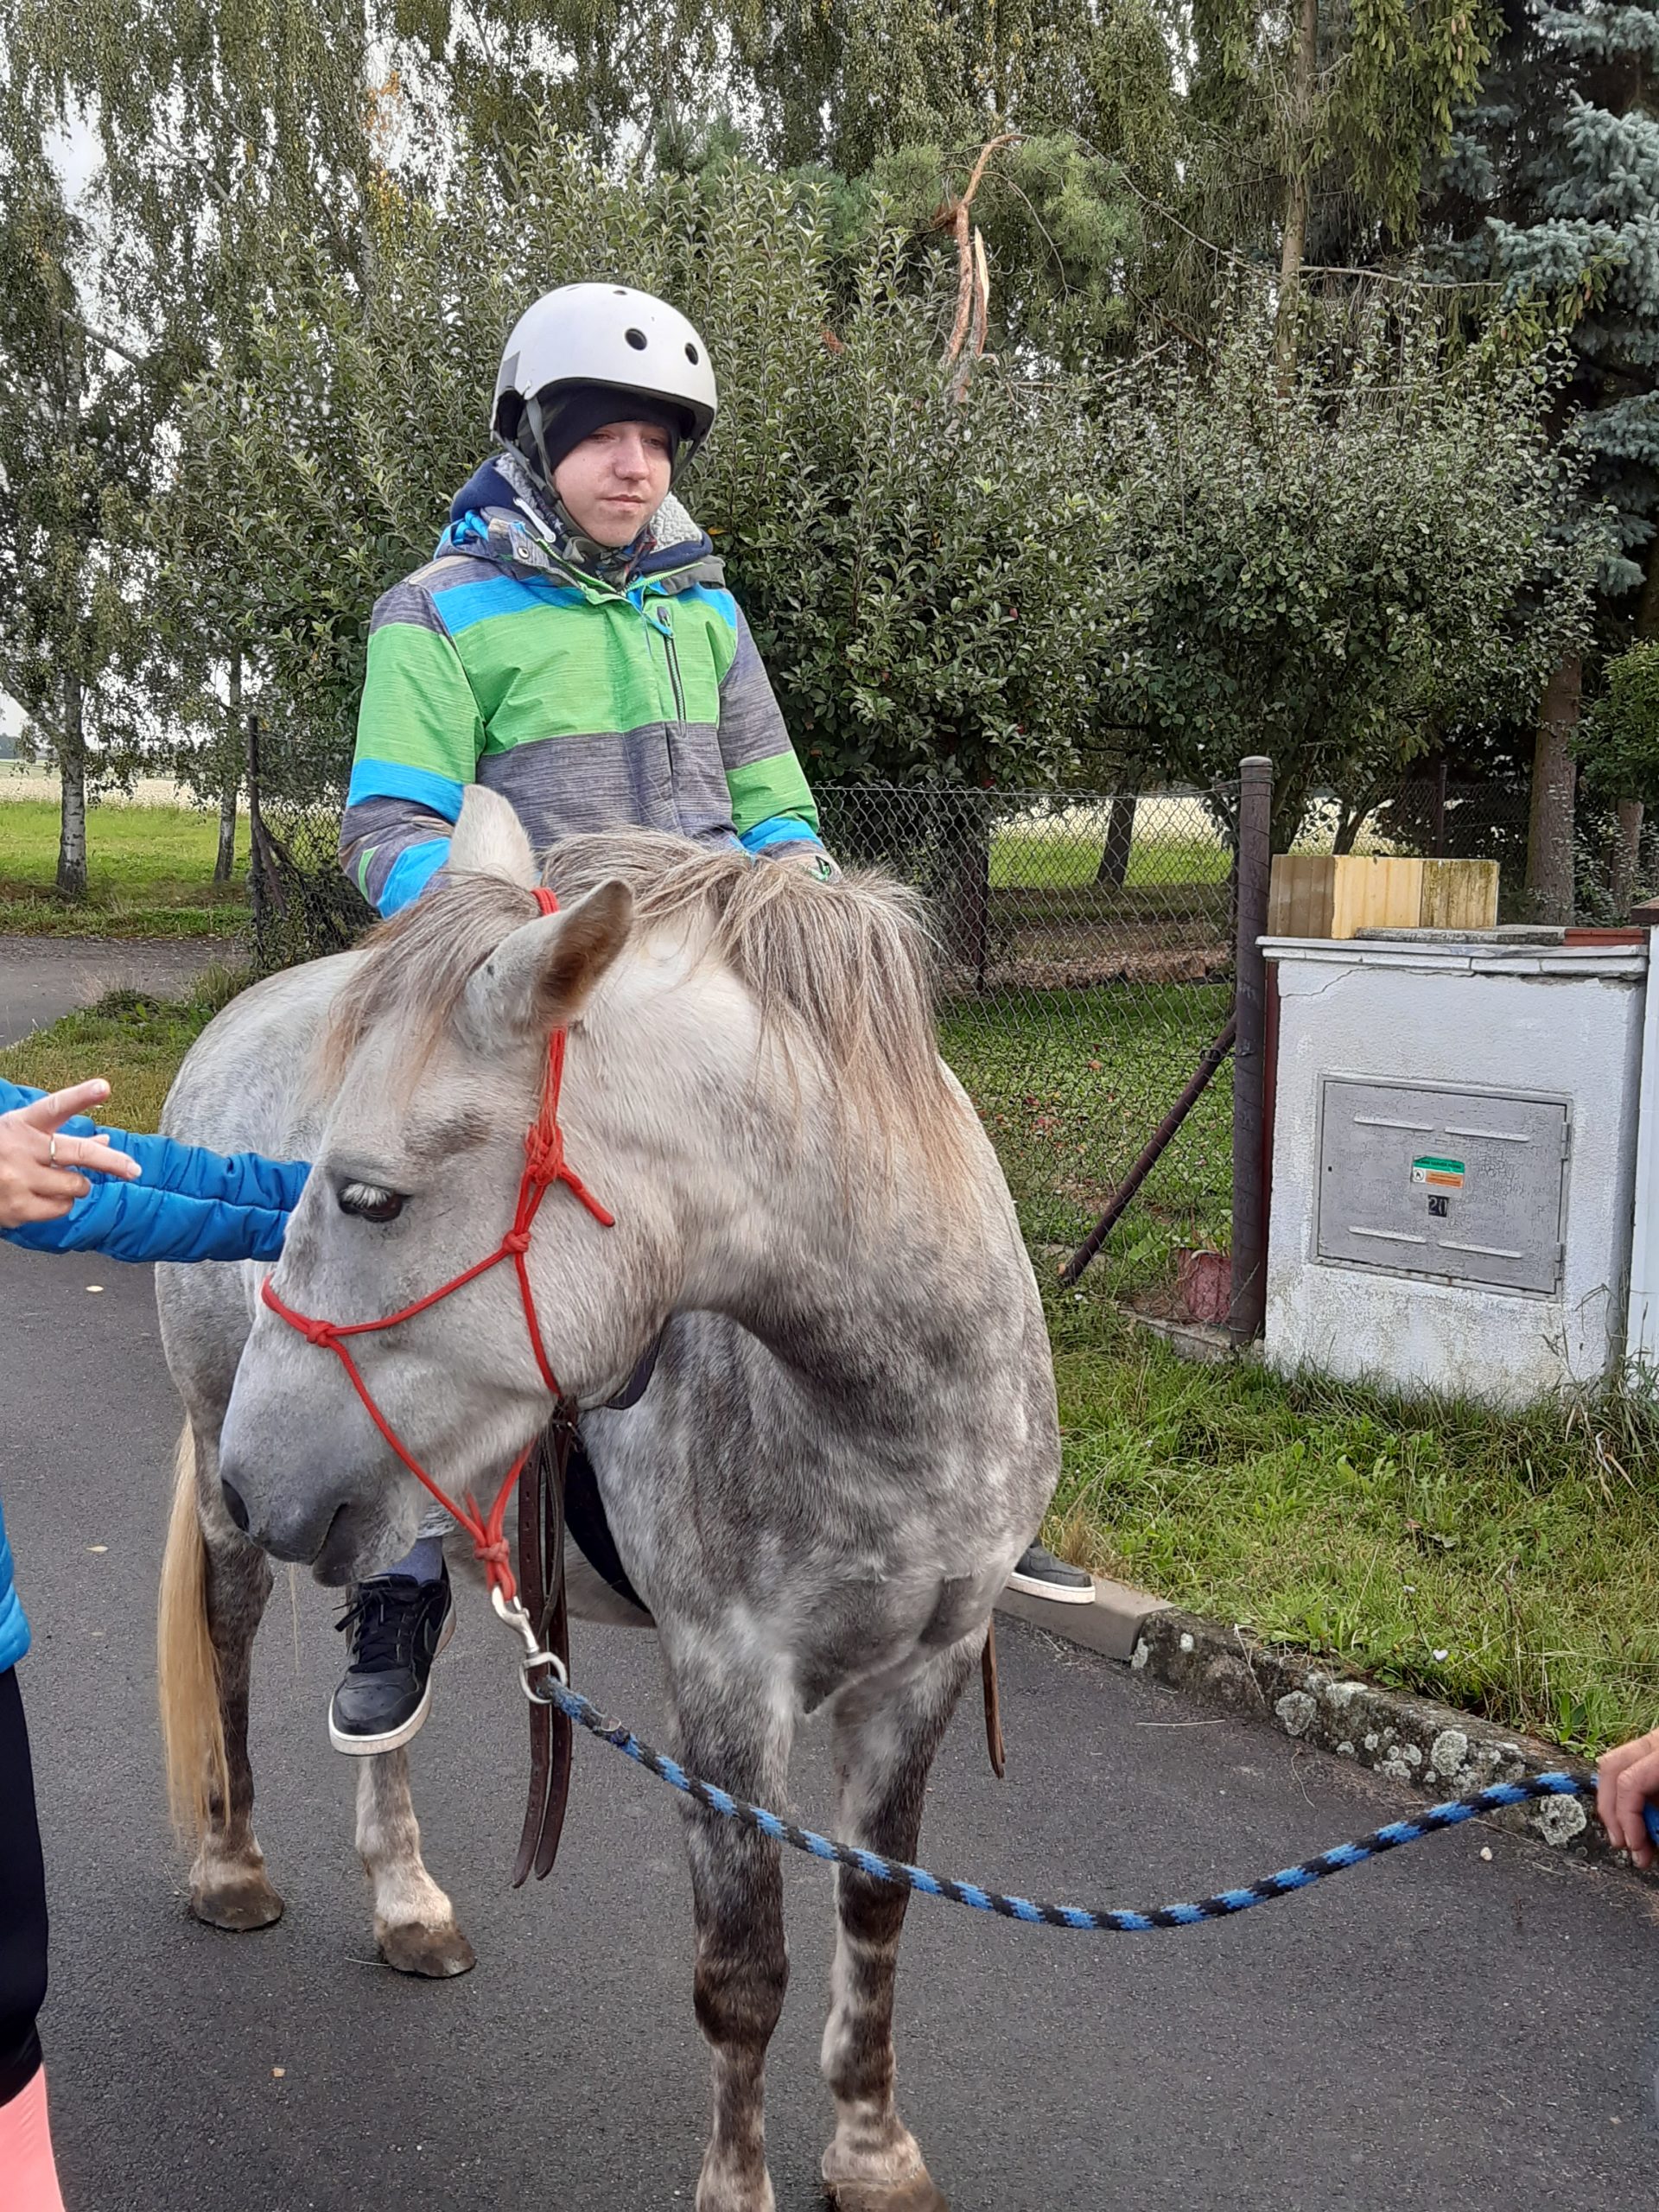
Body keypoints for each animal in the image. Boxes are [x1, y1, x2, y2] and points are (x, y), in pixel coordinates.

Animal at [159, 796, 1065, 2212]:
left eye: (369, 1195)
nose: (264, 1475)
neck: (891, 1407)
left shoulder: (923, 1666)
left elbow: (878, 1910)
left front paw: (872, 2151)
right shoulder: (731, 1687)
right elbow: (742, 1973)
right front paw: (738, 2189)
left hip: (390, 1495)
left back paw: (406, 1898)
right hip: (232, 1469)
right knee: (233, 1639)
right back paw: (232, 1864)